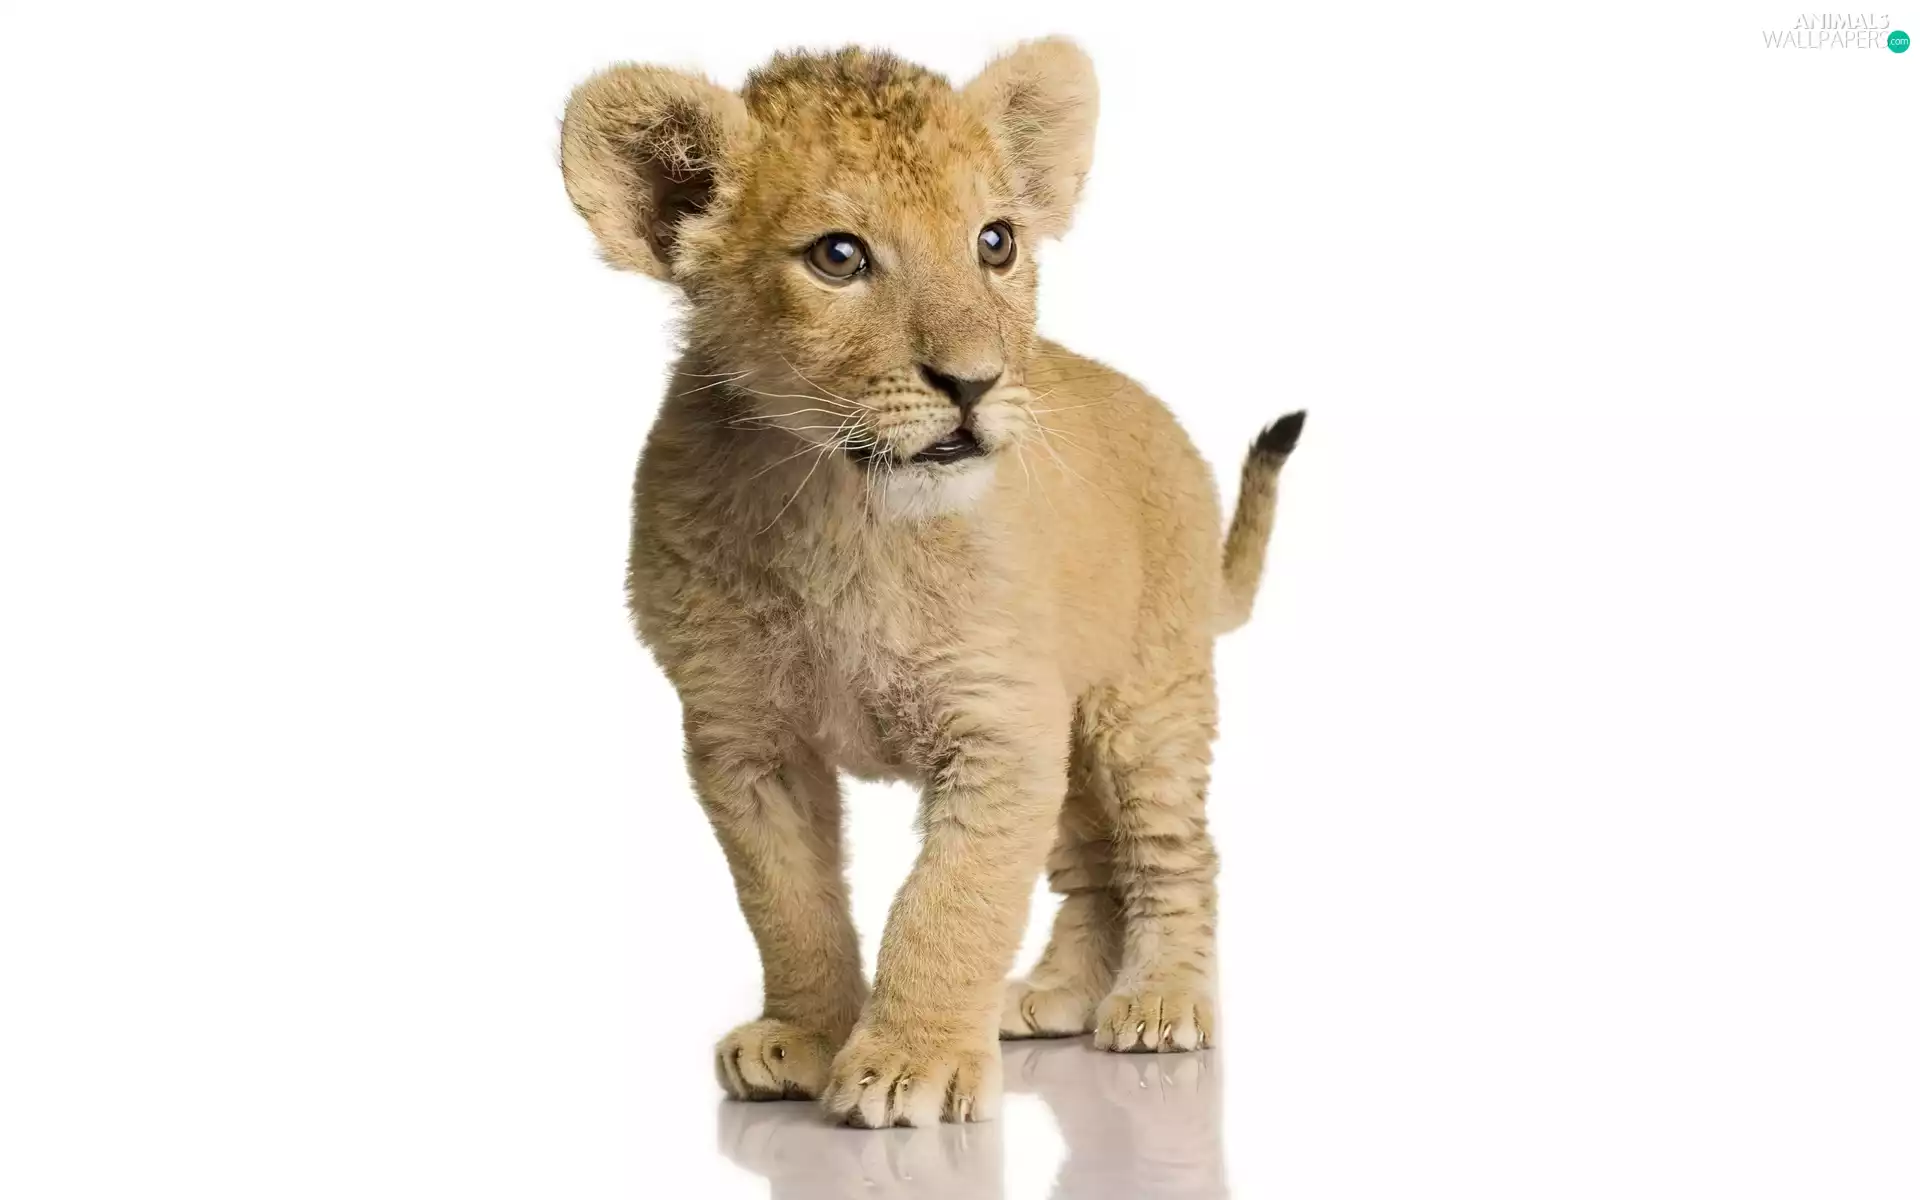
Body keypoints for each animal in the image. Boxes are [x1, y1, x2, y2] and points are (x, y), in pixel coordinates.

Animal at [560, 39, 1303, 1128]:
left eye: (995, 242)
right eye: (839, 256)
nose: (975, 383)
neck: (841, 508)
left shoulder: (999, 724)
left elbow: (951, 900)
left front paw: (911, 1062)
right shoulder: (741, 737)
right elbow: (788, 901)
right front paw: (806, 1037)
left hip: (1144, 699)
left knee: (1171, 853)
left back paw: (1161, 1001)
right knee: (1091, 866)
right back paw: (1055, 996)